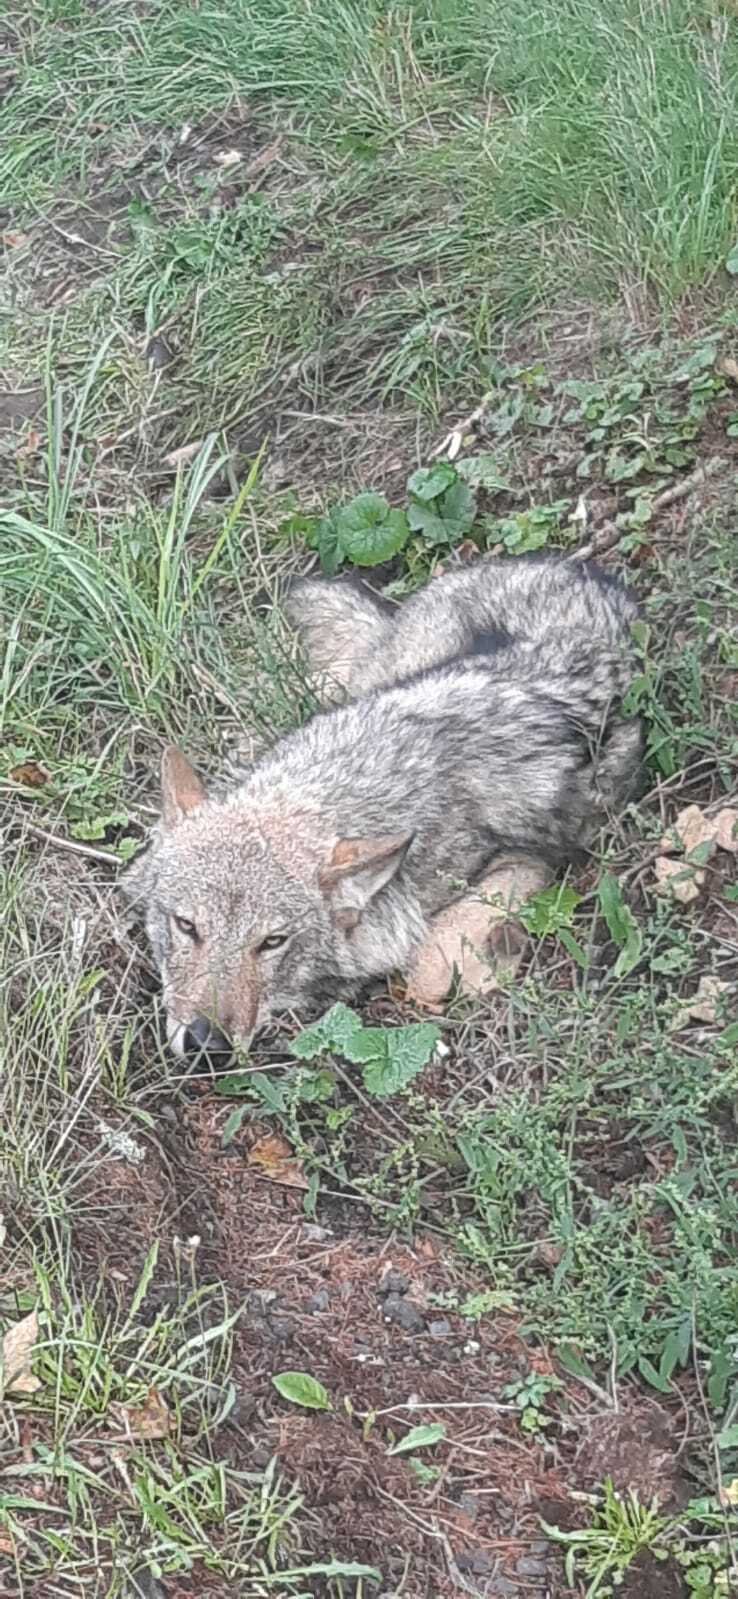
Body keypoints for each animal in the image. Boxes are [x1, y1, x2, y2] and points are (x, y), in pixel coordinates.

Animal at [125, 556, 638, 1055]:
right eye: (187, 926)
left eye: (271, 942)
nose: (206, 1044)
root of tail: (584, 571)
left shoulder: (529, 858)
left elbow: (427, 963)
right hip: (389, 663)